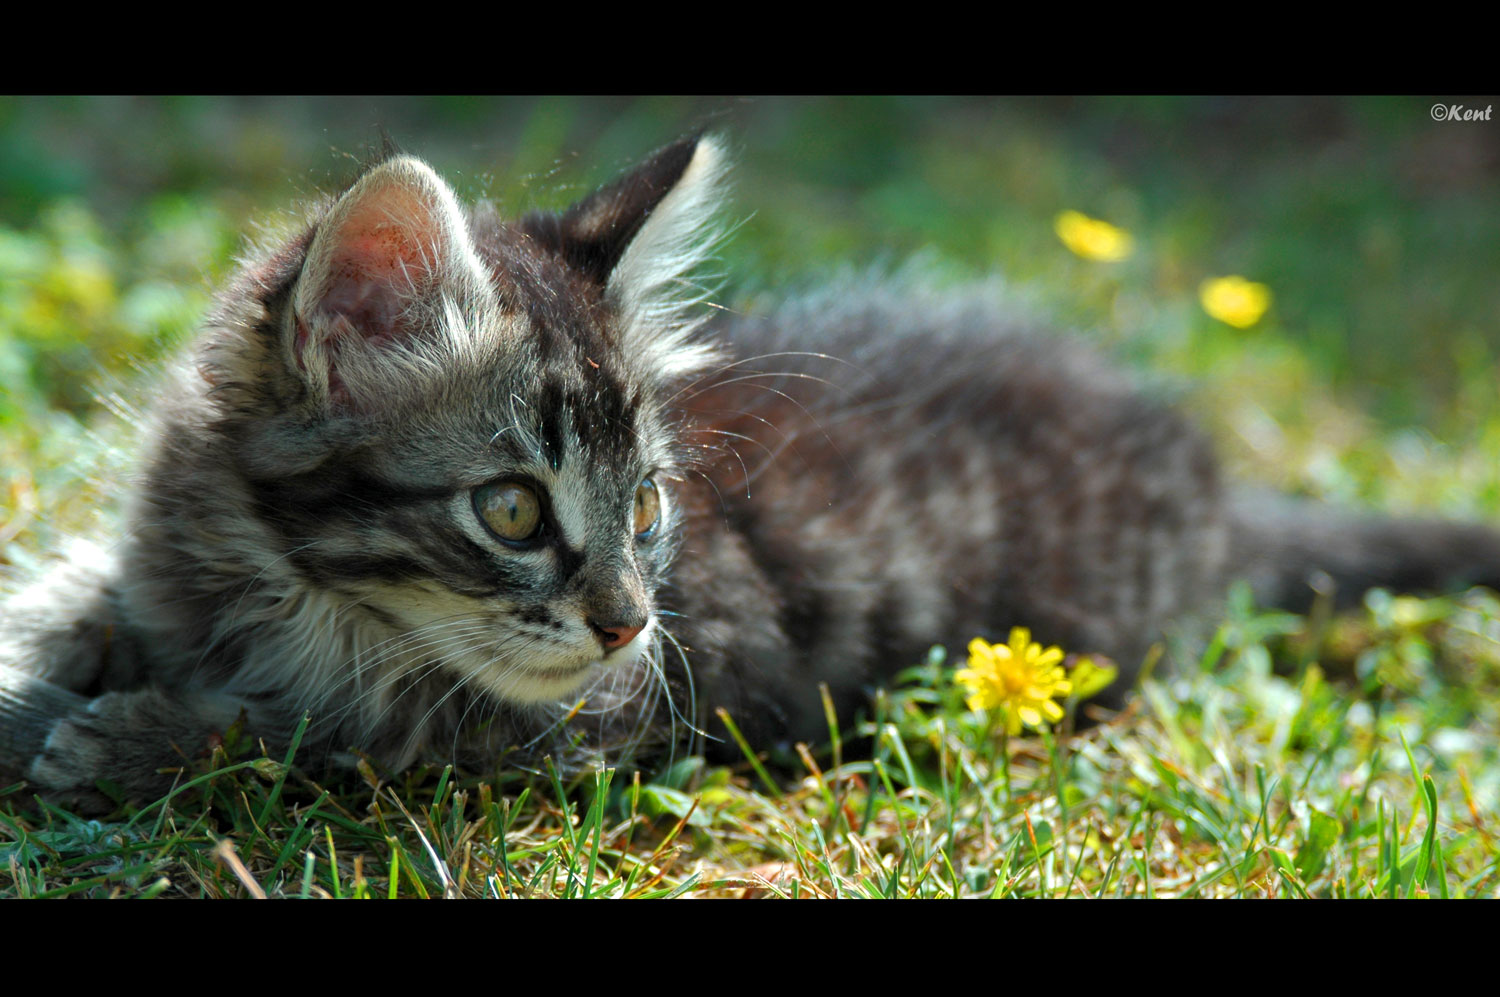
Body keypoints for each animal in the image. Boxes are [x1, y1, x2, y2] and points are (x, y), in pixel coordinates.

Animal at [2, 136, 1500, 815]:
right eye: (511, 507)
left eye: (647, 506)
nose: (625, 623)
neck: (273, 582)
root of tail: (1206, 474)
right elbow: (80, 594)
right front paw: (51, 663)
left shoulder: (580, 726)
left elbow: (343, 739)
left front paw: (133, 734)